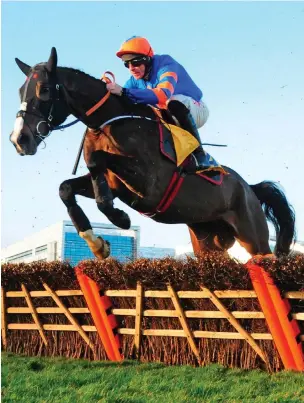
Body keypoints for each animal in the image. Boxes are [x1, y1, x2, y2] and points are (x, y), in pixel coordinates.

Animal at [9, 48, 294, 262]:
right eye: (20, 91)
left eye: (44, 89)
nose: (19, 139)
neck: (109, 123)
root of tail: (250, 189)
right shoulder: (114, 184)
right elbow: (67, 188)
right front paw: (98, 244)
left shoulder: (149, 187)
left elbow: (96, 161)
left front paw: (120, 218)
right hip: (208, 241)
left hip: (253, 237)